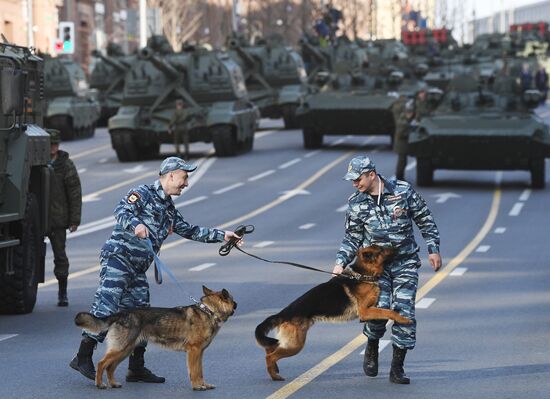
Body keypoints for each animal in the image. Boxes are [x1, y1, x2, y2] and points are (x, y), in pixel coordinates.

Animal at [74, 286, 237, 392]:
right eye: (233, 300)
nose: (236, 304)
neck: (209, 311)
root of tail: (122, 313)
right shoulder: (194, 351)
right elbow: (195, 372)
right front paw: (197, 386)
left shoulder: (200, 353)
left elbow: (200, 371)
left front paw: (204, 384)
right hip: (120, 349)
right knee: (102, 364)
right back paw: (100, 384)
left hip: (125, 350)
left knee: (110, 367)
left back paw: (113, 384)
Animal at [256, 245, 412, 382]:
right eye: (381, 249)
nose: (397, 247)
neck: (362, 275)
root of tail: (284, 312)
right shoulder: (365, 311)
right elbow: (388, 311)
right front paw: (403, 319)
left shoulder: (371, 308)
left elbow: (384, 310)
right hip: (295, 345)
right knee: (270, 356)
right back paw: (275, 376)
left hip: (290, 342)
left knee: (270, 348)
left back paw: (275, 370)